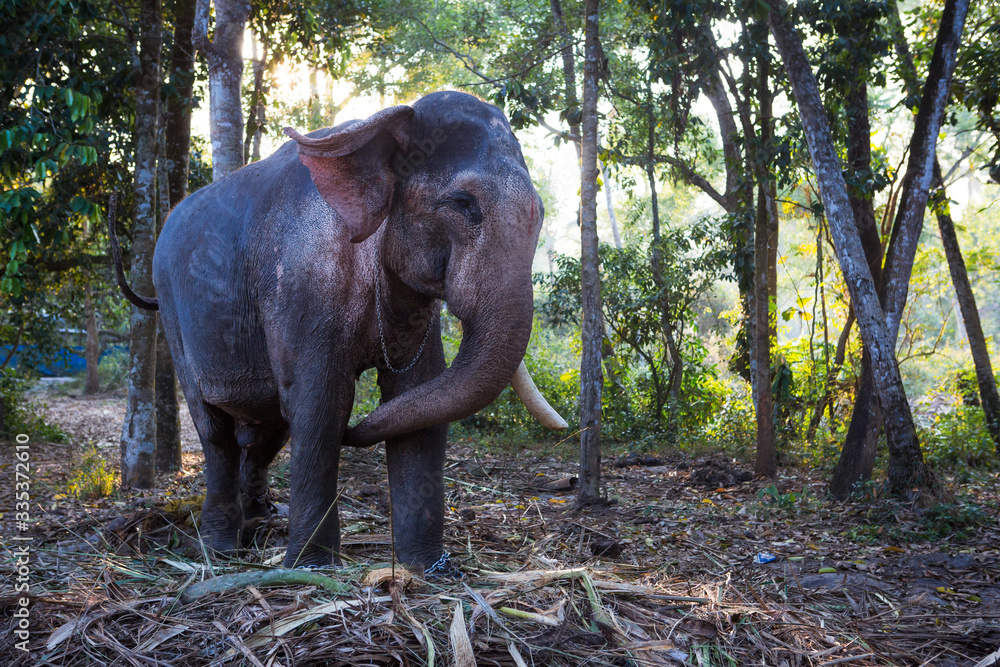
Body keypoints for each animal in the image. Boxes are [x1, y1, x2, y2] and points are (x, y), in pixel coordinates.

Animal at [111, 91, 567, 572]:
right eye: (463, 203)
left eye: (540, 213)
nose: (356, 432)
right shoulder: (303, 282)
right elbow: (322, 399)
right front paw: (311, 567)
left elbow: (415, 394)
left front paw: (426, 568)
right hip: (174, 310)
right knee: (215, 431)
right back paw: (220, 549)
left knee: (269, 429)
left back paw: (259, 522)